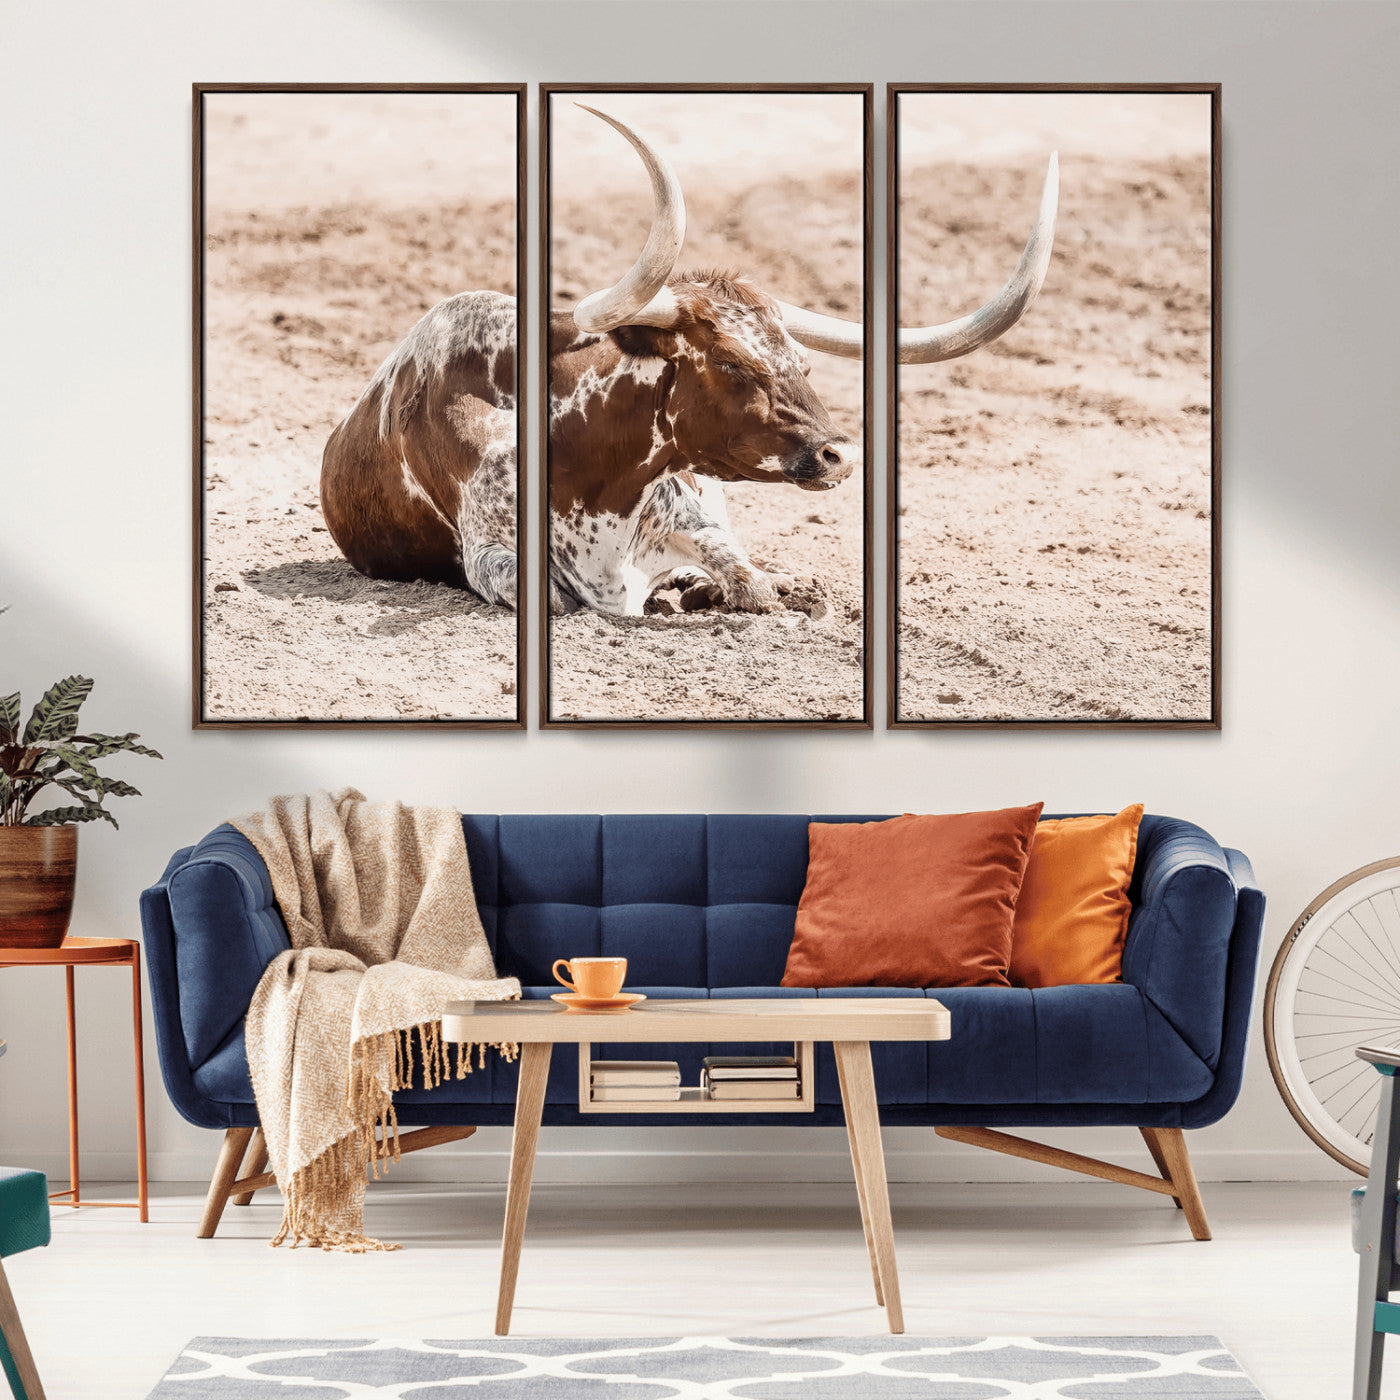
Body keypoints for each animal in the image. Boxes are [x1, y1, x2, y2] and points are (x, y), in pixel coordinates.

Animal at [320, 106, 1058, 617]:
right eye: (731, 365)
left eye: (802, 362)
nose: (839, 456)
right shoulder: (490, 556)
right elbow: (553, 596)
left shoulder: (698, 519)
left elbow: (753, 584)